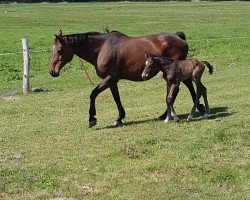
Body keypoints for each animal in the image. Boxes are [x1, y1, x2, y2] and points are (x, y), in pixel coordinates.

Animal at [49, 29, 205, 127]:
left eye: (59, 50)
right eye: (52, 50)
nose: (52, 71)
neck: (102, 48)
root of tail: (179, 37)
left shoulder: (109, 78)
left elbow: (93, 94)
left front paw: (92, 118)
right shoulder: (112, 80)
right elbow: (116, 98)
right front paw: (119, 118)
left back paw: (195, 108)